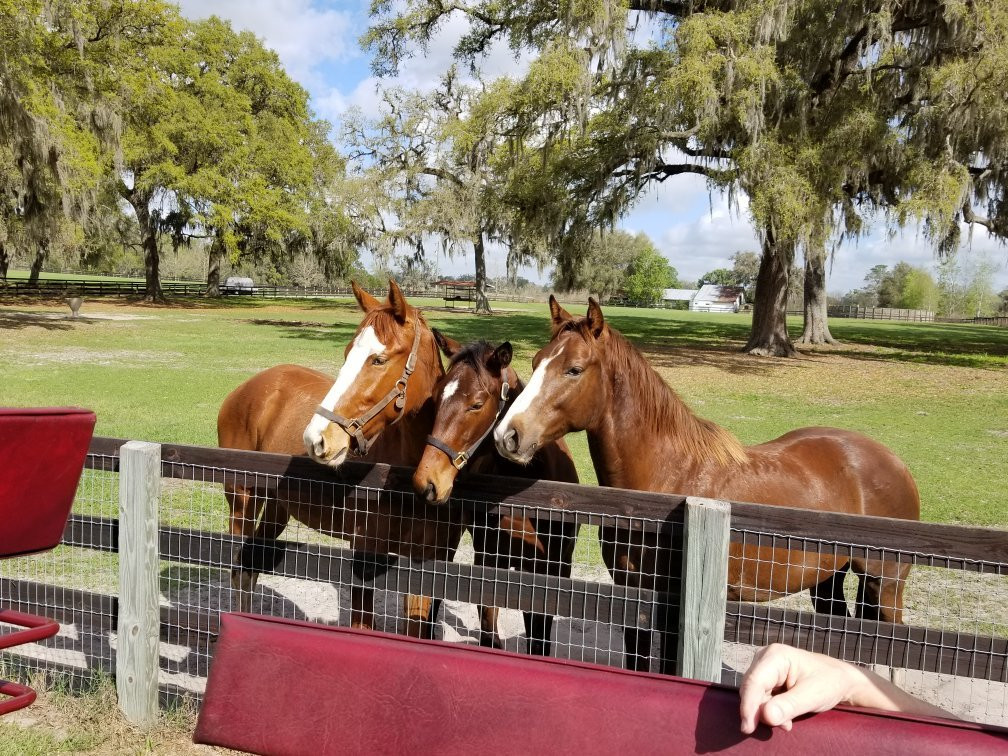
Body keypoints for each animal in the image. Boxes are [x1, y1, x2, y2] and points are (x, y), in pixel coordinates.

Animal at [219, 280, 457, 637]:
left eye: (378, 360)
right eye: (346, 353)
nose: (317, 438)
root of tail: (244, 390)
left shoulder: (427, 560)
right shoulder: (365, 552)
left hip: (277, 507)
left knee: (251, 567)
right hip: (242, 501)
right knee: (240, 569)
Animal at [412, 331, 580, 655]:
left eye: (476, 404)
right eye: (435, 397)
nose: (426, 481)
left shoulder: (549, 568)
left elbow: (539, 631)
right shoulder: (491, 556)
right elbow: (488, 620)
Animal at [493, 296, 920, 673]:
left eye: (575, 369)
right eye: (535, 362)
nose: (508, 435)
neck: (669, 480)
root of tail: (895, 463)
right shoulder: (632, 598)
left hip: (885, 584)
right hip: (827, 581)